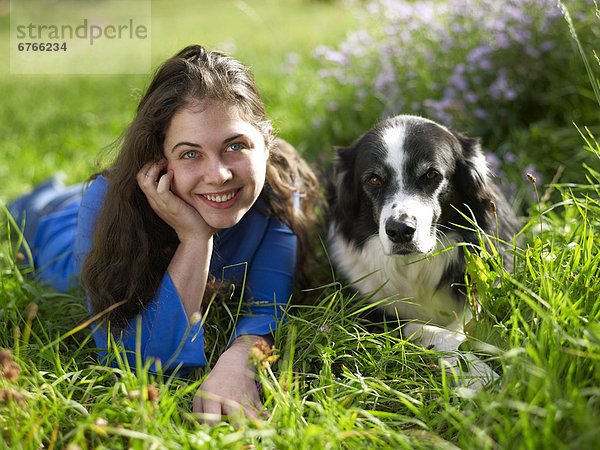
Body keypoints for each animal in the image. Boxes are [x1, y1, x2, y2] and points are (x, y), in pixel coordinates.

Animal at [326, 114, 516, 388]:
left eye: (431, 175)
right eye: (374, 179)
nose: (399, 231)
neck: (416, 265)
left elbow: (466, 320)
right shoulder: (367, 313)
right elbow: (426, 329)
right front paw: (479, 374)